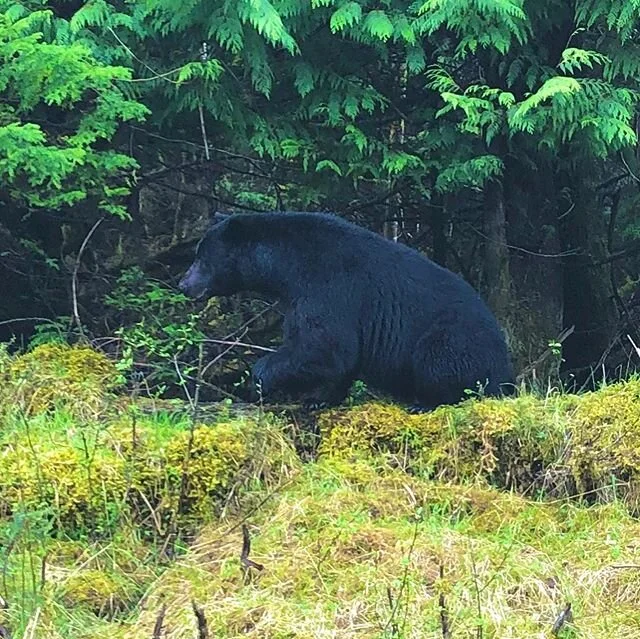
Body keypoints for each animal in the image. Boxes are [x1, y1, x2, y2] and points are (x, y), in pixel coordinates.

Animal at [179, 212, 514, 409]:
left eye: (201, 257)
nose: (183, 284)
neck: (286, 266)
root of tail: (507, 370)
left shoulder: (327, 287)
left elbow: (324, 345)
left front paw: (261, 379)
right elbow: (337, 356)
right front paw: (319, 399)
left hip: (455, 338)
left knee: (439, 362)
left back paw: (425, 401)